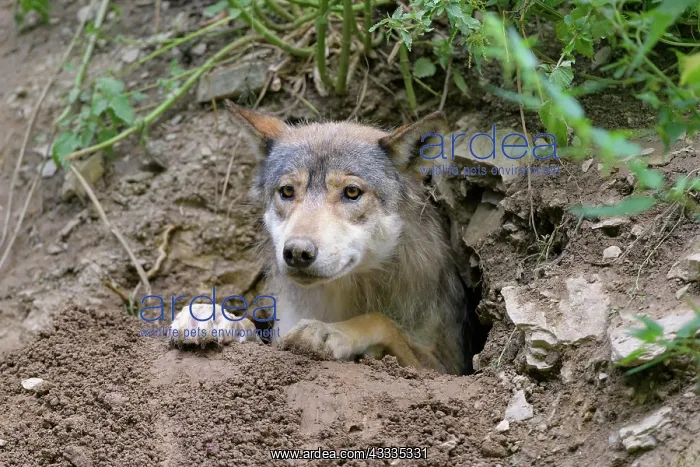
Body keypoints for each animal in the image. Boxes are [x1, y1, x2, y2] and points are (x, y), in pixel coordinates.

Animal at [170, 104, 479, 375]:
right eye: (287, 191)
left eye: (352, 192)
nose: (297, 252)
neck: (341, 294)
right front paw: (212, 317)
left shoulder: (446, 368)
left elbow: (380, 321)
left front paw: (330, 331)